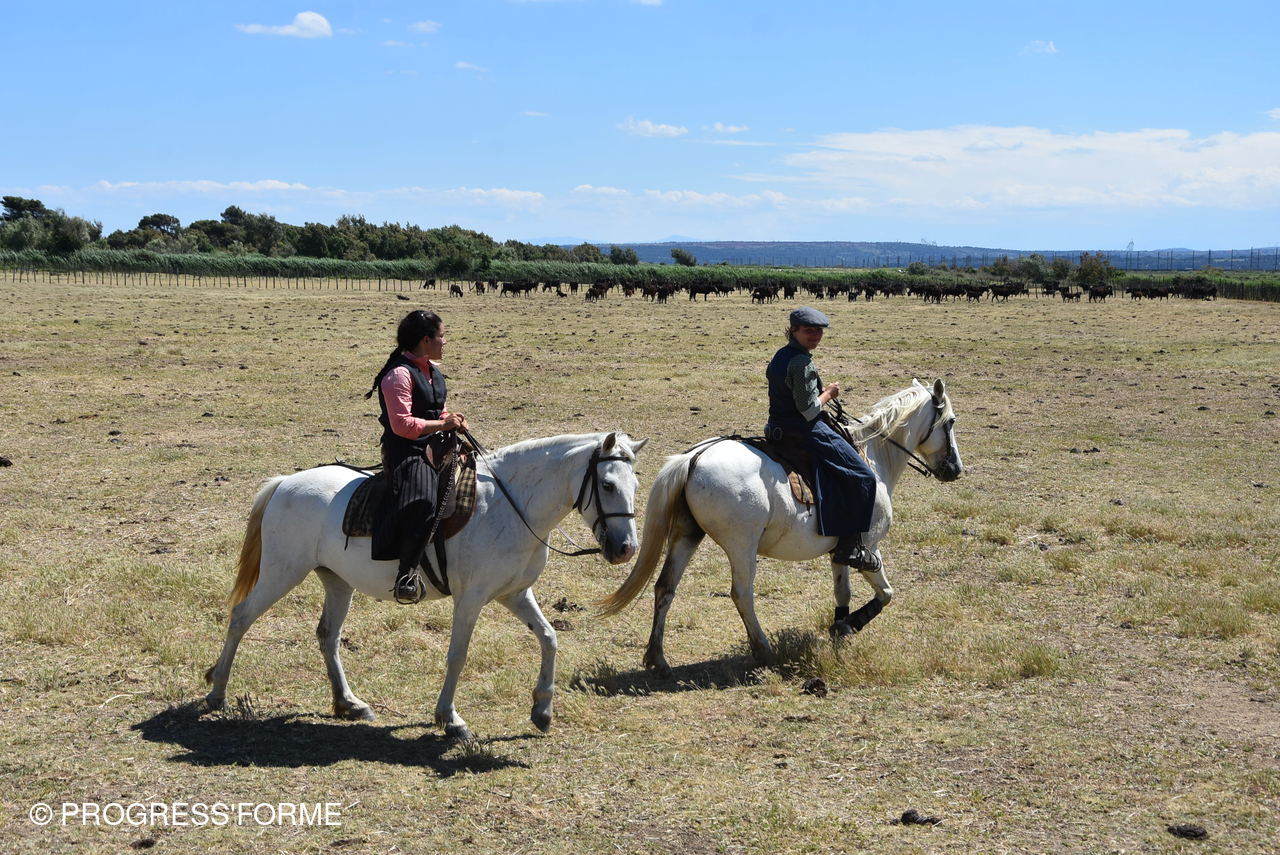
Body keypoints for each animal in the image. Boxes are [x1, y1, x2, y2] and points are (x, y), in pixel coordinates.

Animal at [205, 431, 648, 740]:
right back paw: (217, 692)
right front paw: (449, 719)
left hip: (337, 582)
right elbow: (458, 655)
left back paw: (349, 703)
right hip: (281, 572)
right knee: (241, 617)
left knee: (327, 636)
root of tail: (285, 483)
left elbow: (549, 637)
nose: (625, 549)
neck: (510, 507)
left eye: (636, 486)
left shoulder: (514, 594)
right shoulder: (471, 599)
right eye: (607, 485)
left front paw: (542, 710)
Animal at [599, 380, 962, 675]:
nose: (955, 469)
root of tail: (694, 457)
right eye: (950, 421)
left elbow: (842, 591)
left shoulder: (842, 550)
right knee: (741, 593)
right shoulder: (869, 548)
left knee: (665, 587)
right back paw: (762, 650)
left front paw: (840, 627)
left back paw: (657, 658)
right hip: (742, 546)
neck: (871, 456)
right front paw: (850, 625)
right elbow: (886, 593)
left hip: (687, 536)